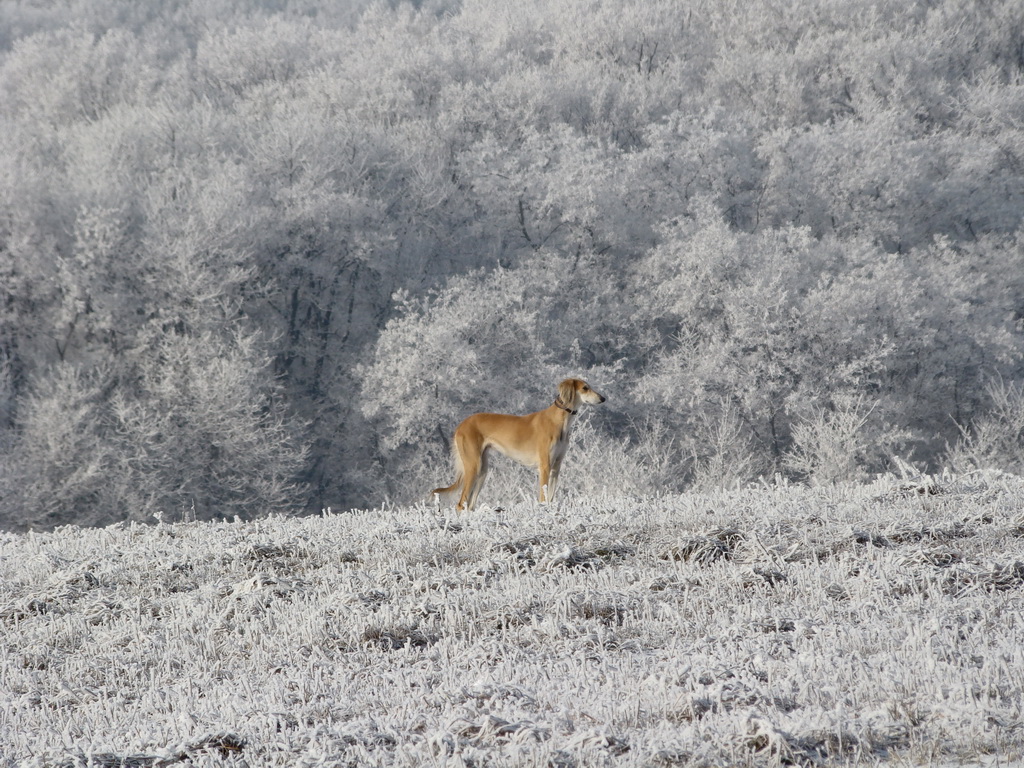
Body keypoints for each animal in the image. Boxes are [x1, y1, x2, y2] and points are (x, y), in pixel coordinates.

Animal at [434, 378, 606, 512]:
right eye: (585, 388)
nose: (603, 398)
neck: (559, 420)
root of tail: (461, 425)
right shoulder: (545, 466)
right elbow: (543, 498)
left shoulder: (556, 466)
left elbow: (550, 497)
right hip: (473, 466)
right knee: (460, 504)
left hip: (482, 470)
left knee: (470, 504)